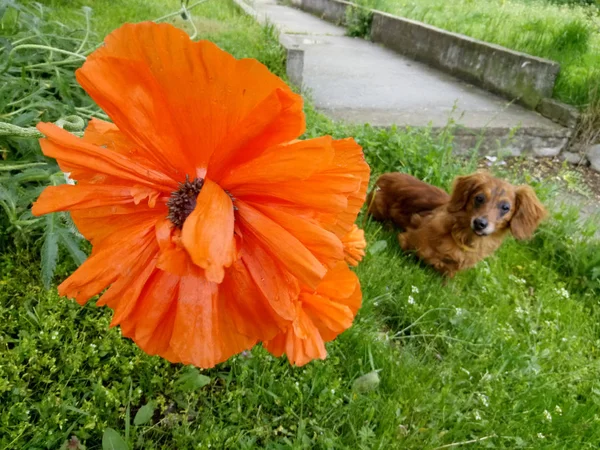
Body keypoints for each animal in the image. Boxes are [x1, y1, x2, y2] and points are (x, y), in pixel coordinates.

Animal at [366, 171, 548, 276]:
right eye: (479, 198)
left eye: (505, 207)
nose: (480, 223)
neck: (463, 238)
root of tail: (386, 175)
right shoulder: (406, 240)